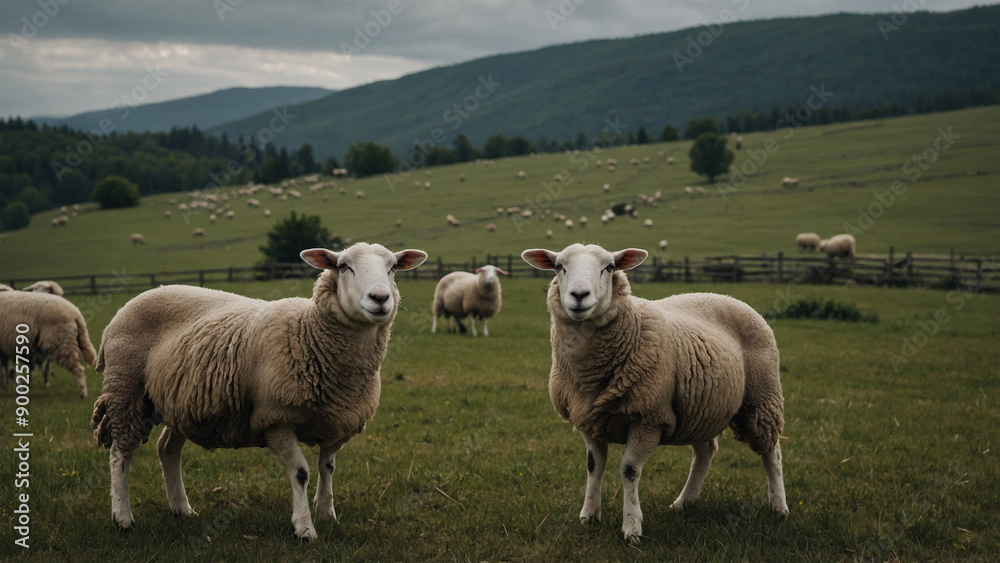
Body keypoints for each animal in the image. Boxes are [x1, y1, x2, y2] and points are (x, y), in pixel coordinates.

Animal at [87, 243, 426, 540]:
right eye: (343, 266)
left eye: (393, 267)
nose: (380, 298)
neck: (309, 334)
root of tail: (136, 299)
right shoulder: (275, 418)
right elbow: (301, 473)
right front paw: (305, 529)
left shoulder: (336, 421)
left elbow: (327, 468)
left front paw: (328, 514)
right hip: (126, 388)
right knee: (120, 453)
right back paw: (123, 518)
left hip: (179, 402)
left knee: (167, 449)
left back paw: (182, 510)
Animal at [524, 243, 788, 548]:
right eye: (559, 267)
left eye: (609, 267)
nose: (579, 296)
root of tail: (729, 297)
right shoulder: (588, 418)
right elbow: (593, 467)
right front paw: (588, 516)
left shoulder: (650, 417)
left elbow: (629, 470)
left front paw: (632, 528)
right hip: (699, 409)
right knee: (705, 453)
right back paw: (684, 502)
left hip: (762, 398)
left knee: (772, 452)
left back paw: (779, 507)